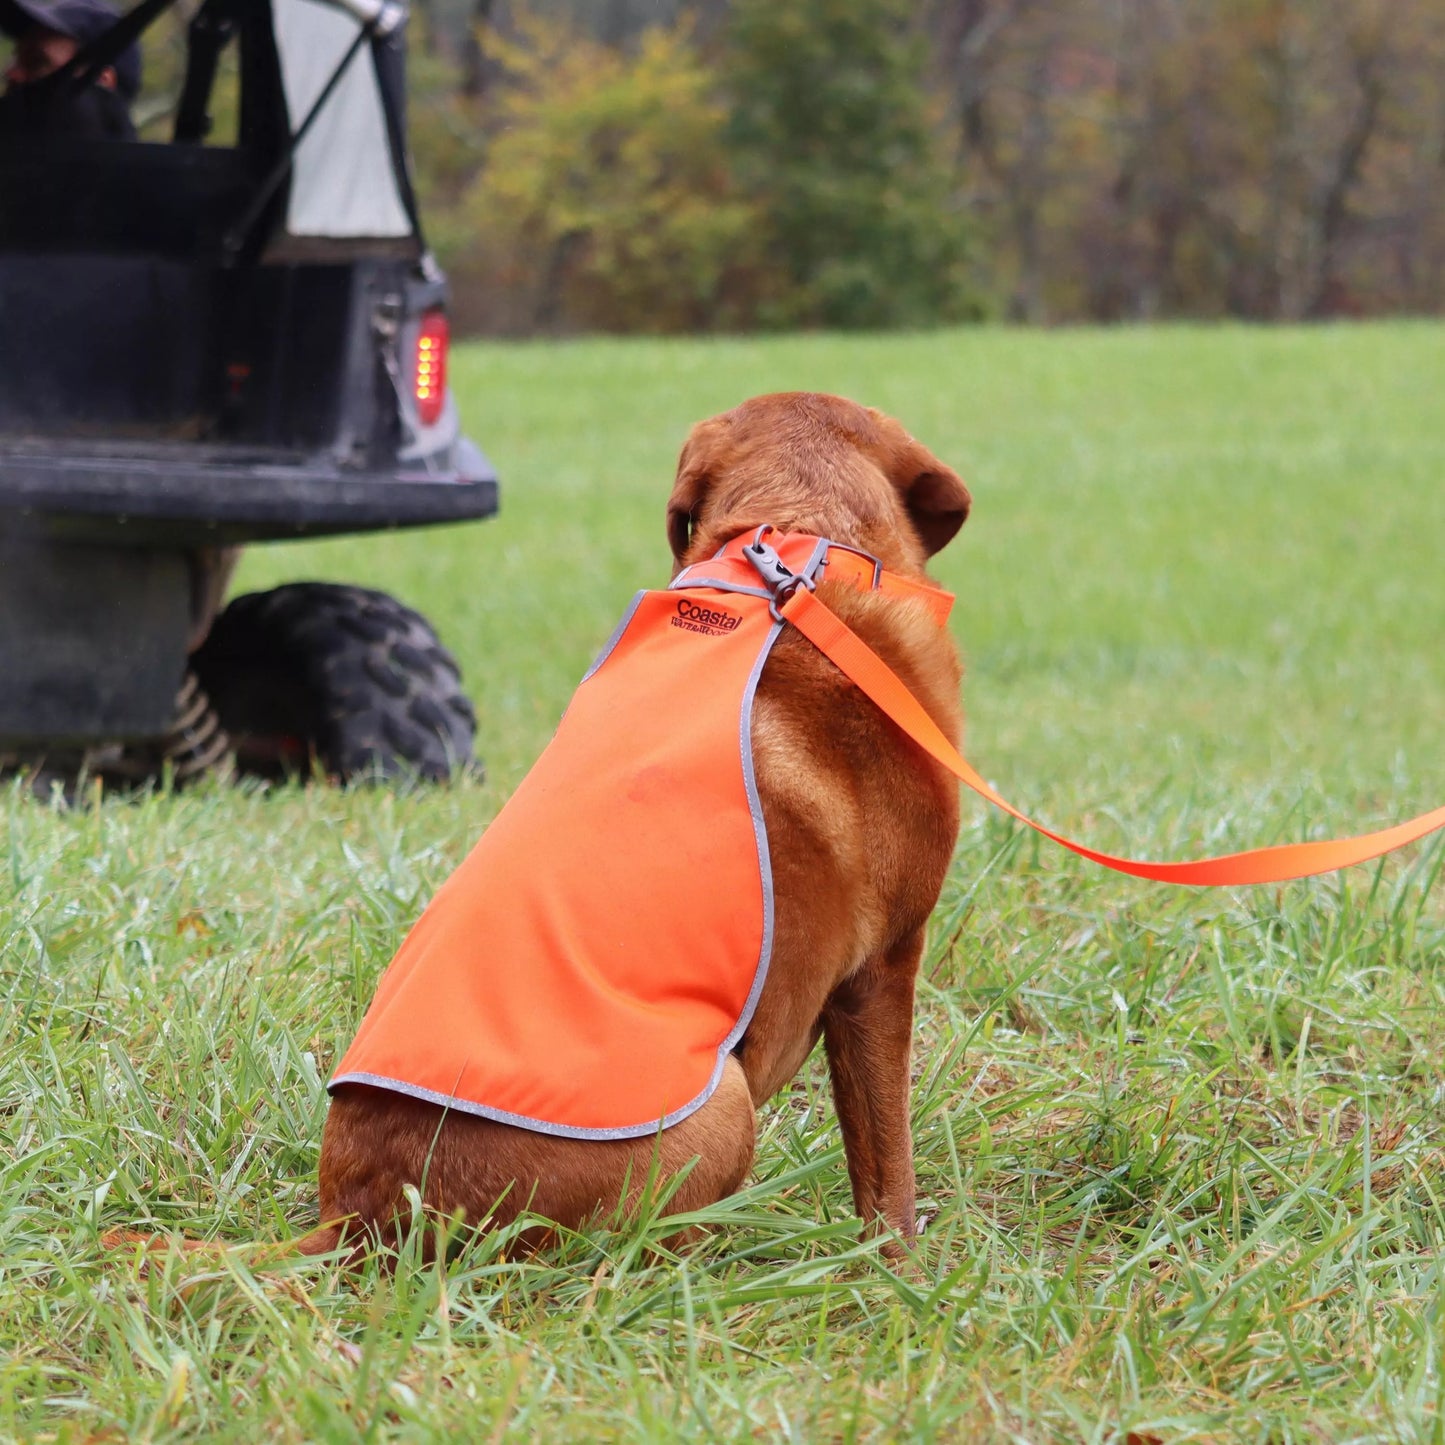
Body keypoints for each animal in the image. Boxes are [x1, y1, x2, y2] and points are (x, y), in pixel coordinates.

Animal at [291, 395, 965, 1265]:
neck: (795, 542)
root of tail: (362, 1216)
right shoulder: (882, 969)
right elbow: (887, 1167)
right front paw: (896, 1268)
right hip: (723, 1103)